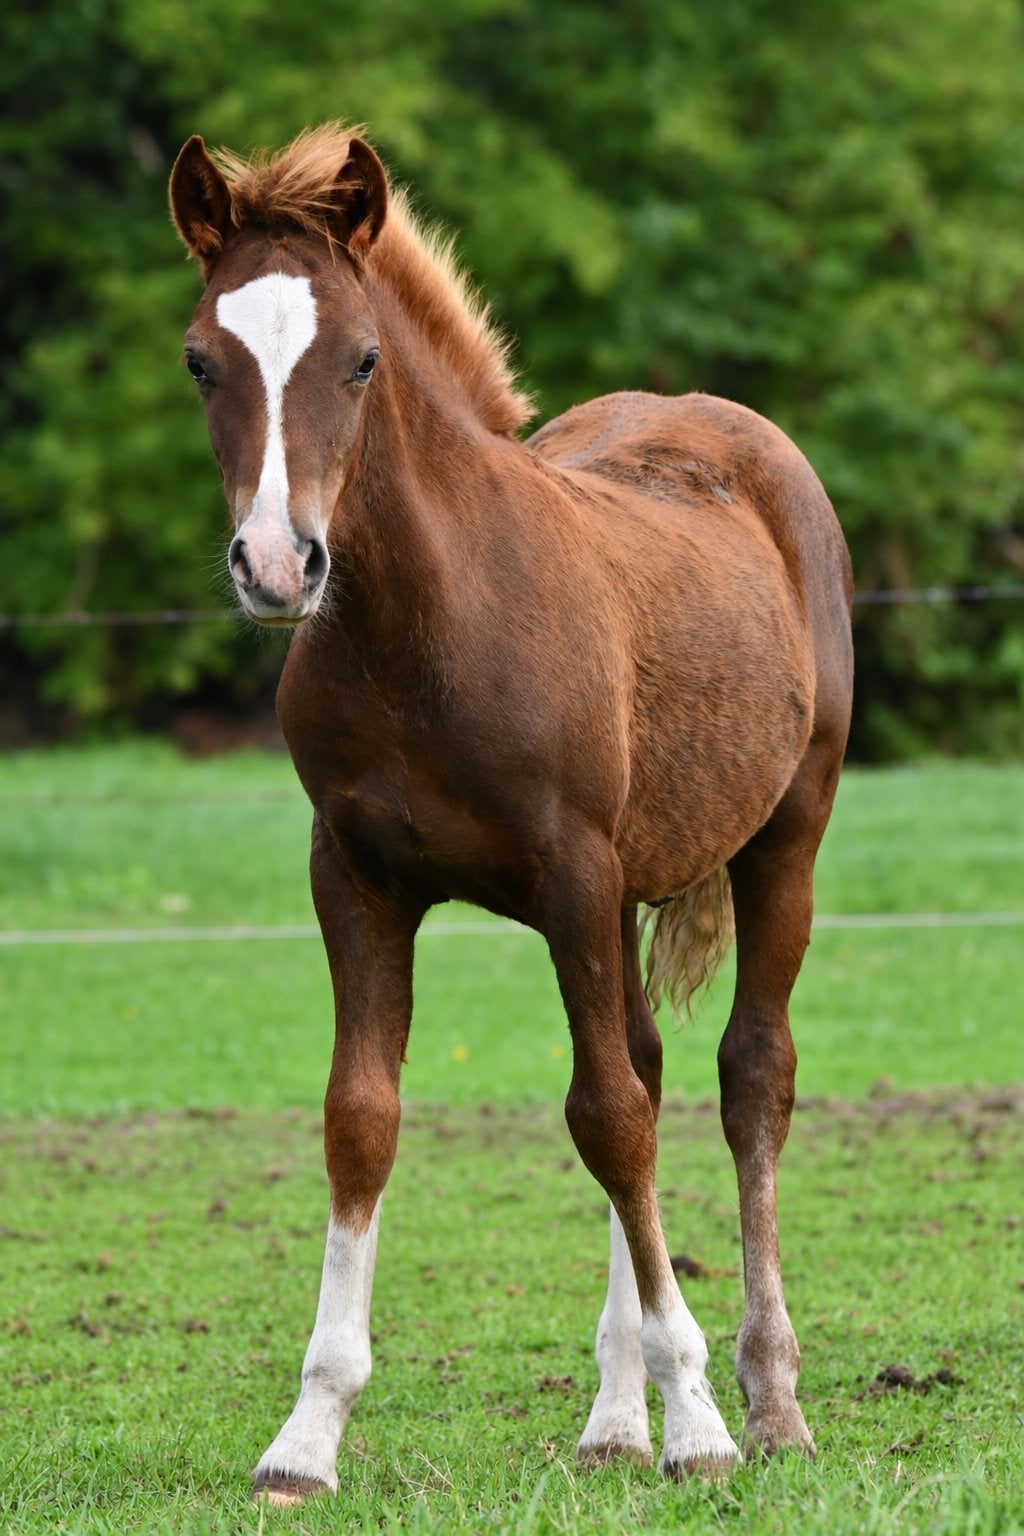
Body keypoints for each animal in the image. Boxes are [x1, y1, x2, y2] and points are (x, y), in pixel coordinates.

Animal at [169, 122, 853, 1505]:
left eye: (362, 359)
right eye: (204, 359)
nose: (276, 566)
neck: (424, 627)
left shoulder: (571, 873)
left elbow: (607, 1117)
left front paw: (698, 1426)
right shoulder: (355, 876)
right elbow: (364, 1117)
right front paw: (306, 1437)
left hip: (784, 836)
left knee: (746, 1077)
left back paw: (766, 1405)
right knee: (646, 1067)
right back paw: (611, 1420)